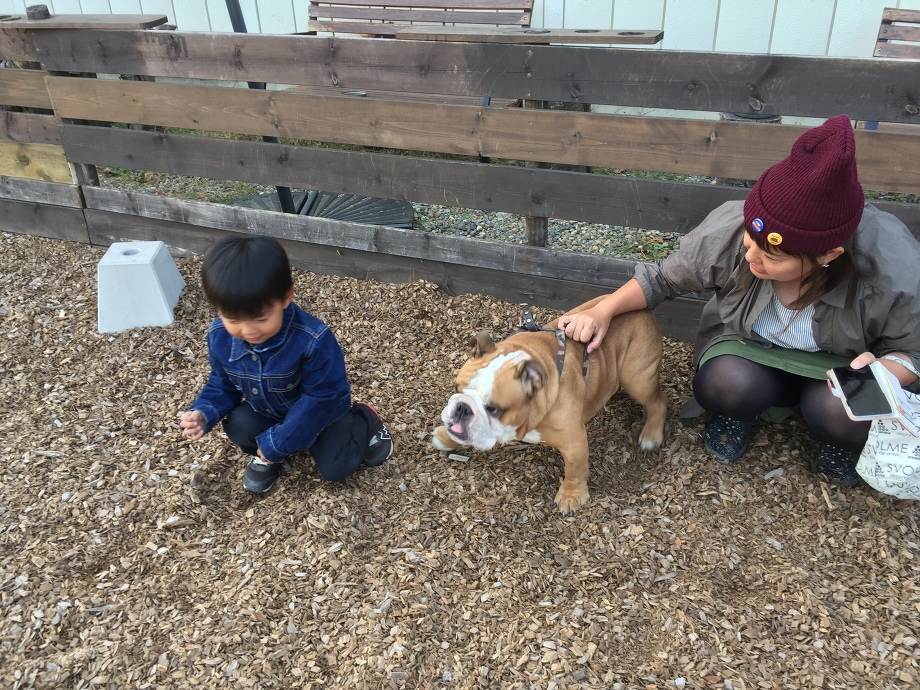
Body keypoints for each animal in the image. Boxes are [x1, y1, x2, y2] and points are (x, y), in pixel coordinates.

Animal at [432, 296, 667, 513]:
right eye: (455, 388)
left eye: (494, 409)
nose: (463, 408)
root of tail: (643, 310)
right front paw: (444, 436)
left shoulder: (574, 442)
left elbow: (575, 470)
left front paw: (571, 496)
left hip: (637, 378)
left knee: (658, 402)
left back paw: (651, 435)